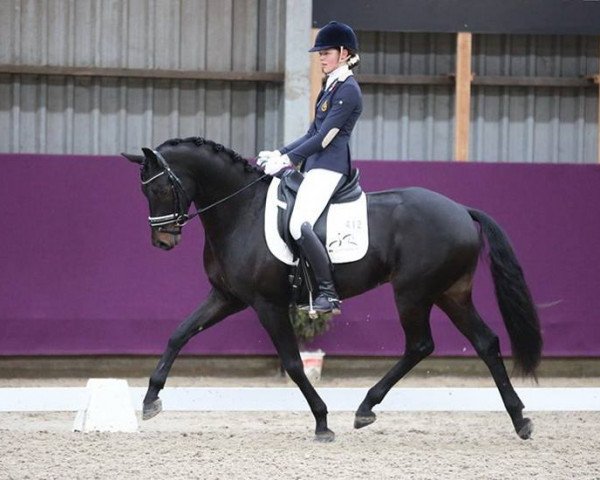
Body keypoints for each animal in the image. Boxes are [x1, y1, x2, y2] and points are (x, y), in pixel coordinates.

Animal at [123, 137, 544, 440]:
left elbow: (293, 364)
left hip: (413, 293)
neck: (241, 210)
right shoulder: (226, 297)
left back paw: (365, 408)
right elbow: (179, 335)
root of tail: (461, 210)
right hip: (450, 293)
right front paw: (150, 399)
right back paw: (519, 419)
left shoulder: (266, 304)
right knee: (485, 342)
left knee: (421, 345)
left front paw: (322, 422)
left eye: (160, 189)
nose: (162, 241)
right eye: (144, 192)